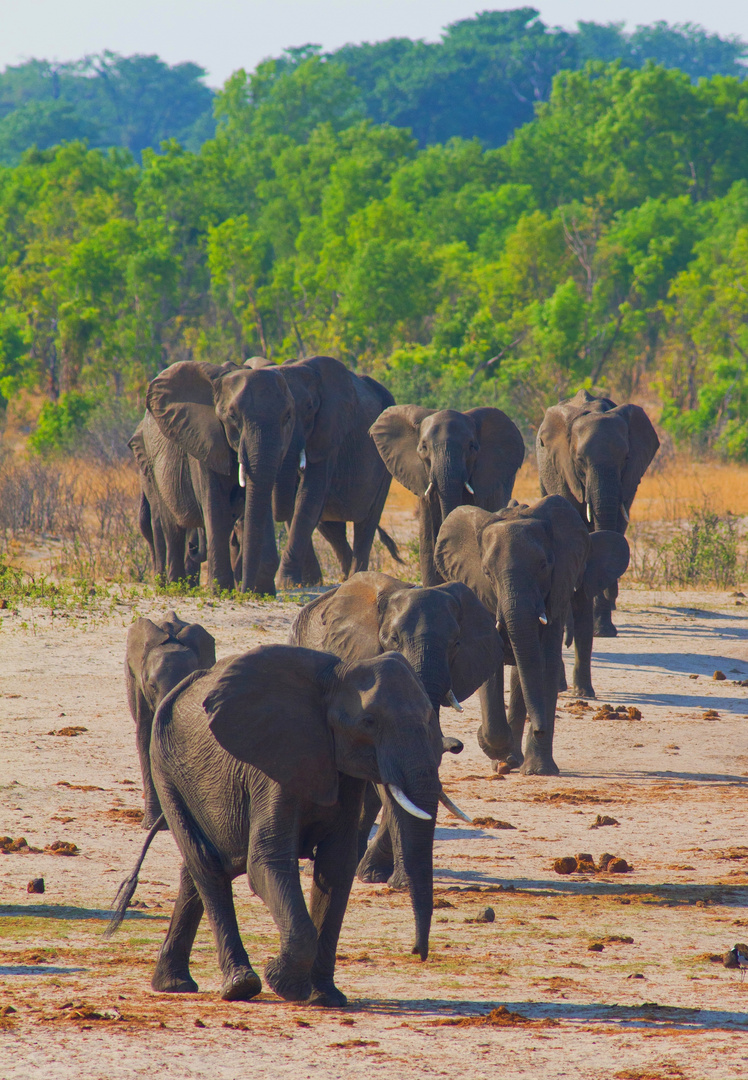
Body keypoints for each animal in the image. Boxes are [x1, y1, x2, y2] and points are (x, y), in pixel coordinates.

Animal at [107, 639, 440, 1002]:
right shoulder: (272, 766)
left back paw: (174, 984)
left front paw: (326, 998)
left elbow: (337, 865)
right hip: (167, 773)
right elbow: (268, 861)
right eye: (368, 721)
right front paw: (284, 984)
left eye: (430, 717)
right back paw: (240, 985)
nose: (416, 952)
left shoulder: (342, 770)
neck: (335, 676)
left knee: (196, 871)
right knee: (206, 867)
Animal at [433, 496, 626, 777]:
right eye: (486, 572)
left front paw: (538, 770)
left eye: (544, 566)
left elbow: (543, 663)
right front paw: (492, 748)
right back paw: (508, 760)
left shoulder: (556, 594)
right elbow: (490, 667)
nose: (540, 727)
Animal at [533, 390, 656, 635]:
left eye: (626, 459)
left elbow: (615, 529)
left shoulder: (628, 480)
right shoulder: (564, 469)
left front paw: (603, 629)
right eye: (580, 461)